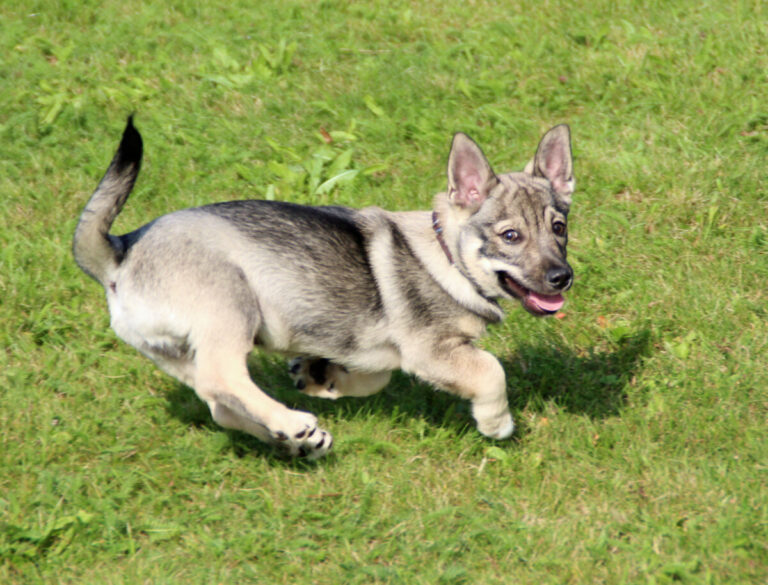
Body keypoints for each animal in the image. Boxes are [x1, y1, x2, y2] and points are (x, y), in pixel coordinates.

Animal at [73, 117, 576, 456]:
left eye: (559, 228)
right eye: (511, 236)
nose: (562, 278)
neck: (446, 257)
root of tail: (121, 253)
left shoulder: (391, 353)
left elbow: (374, 377)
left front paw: (322, 377)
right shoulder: (430, 351)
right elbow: (492, 371)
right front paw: (496, 422)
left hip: (177, 353)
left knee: (219, 403)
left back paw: (294, 438)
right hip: (231, 306)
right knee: (225, 378)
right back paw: (293, 423)